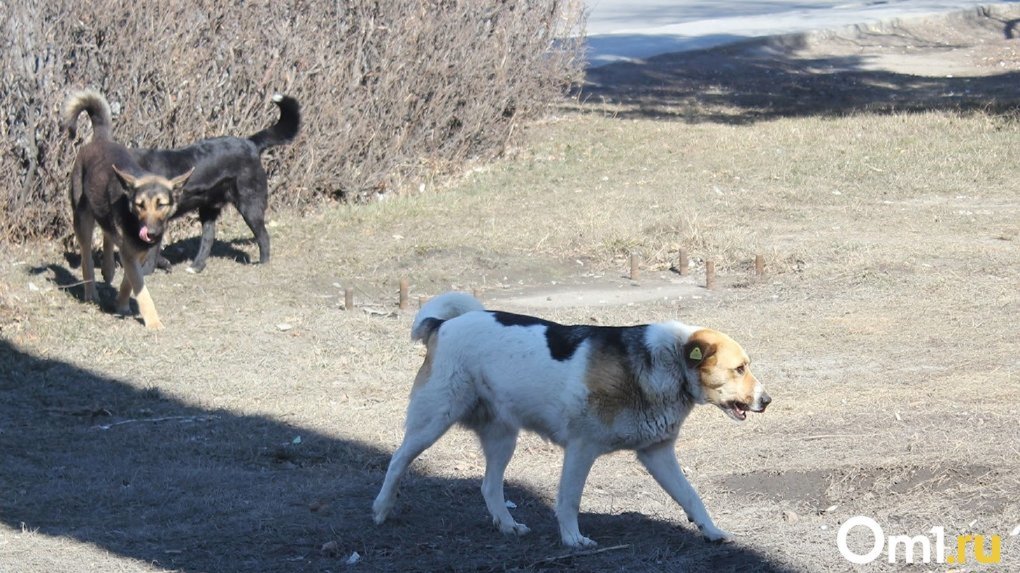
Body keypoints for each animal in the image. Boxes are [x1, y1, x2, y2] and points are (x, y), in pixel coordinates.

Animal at [62, 90, 191, 330]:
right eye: (140, 205)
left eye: (161, 204)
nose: (150, 233)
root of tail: (101, 139)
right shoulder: (130, 254)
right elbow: (141, 289)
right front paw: (153, 321)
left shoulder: (138, 253)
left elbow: (129, 283)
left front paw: (121, 304)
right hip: (82, 219)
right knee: (86, 256)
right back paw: (91, 291)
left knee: (107, 233)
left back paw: (108, 268)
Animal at [377, 291, 771, 546]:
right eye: (739, 368)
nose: (766, 400)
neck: (665, 362)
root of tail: (443, 325)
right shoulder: (581, 449)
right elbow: (569, 500)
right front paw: (572, 539)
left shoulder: (658, 454)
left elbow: (691, 497)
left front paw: (712, 531)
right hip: (432, 421)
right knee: (397, 460)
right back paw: (381, 509)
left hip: (503, 439)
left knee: (489, 486)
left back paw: (508, 526)